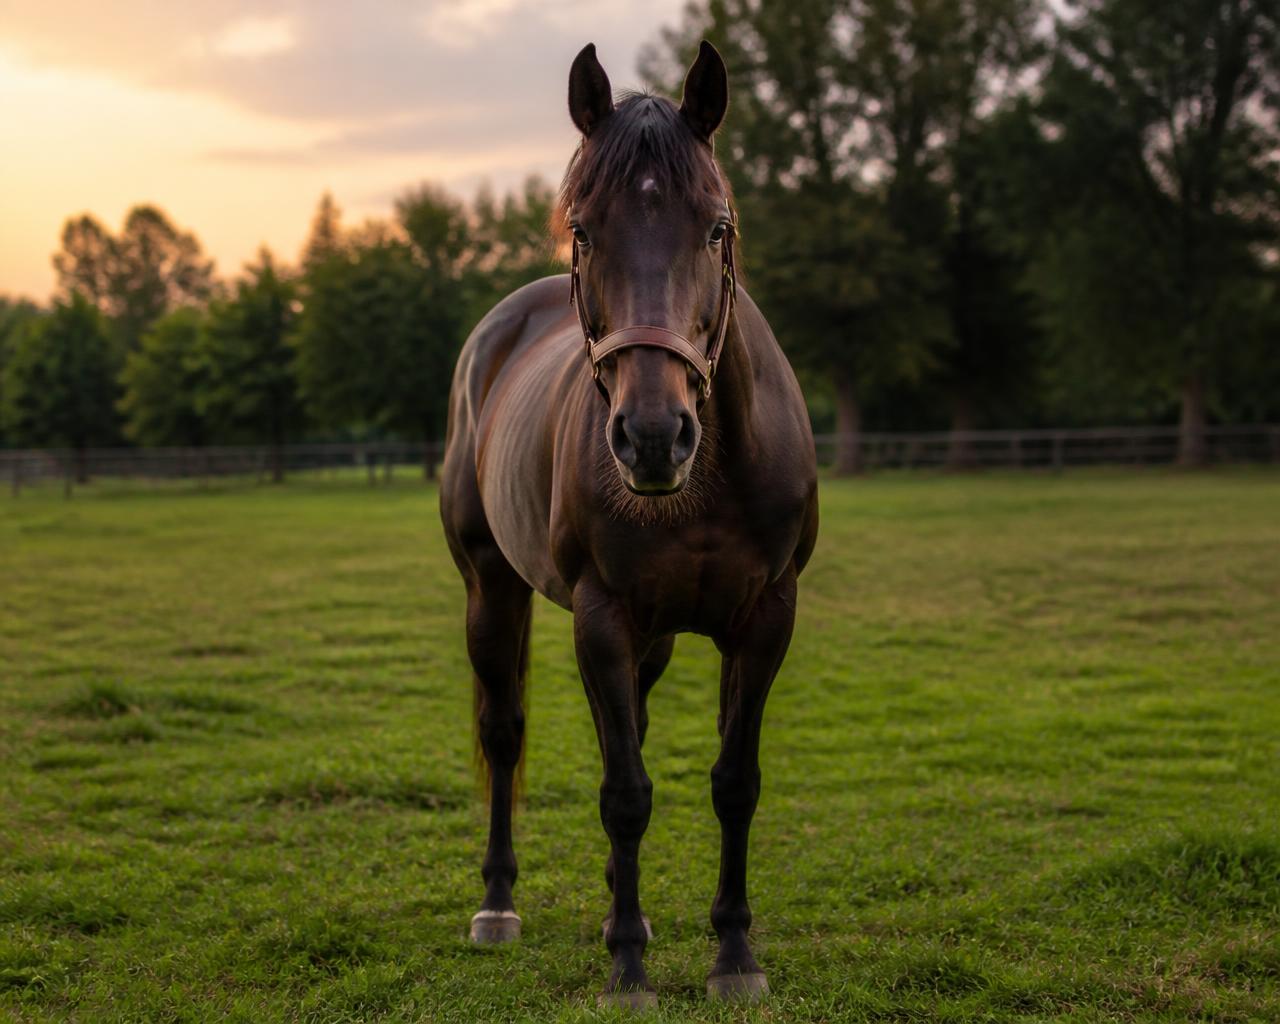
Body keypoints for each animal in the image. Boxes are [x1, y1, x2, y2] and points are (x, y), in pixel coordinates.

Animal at [440, 40, 818, 1007]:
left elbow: (733, 781)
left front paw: (733, 955)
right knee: (506, 731)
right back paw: (499, 905)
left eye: (717, 228)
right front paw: (628, 969)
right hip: (491, 587)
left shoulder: (766, 618)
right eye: (583, 230)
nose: (652, 435)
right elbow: (624, 792)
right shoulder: (603, 616)